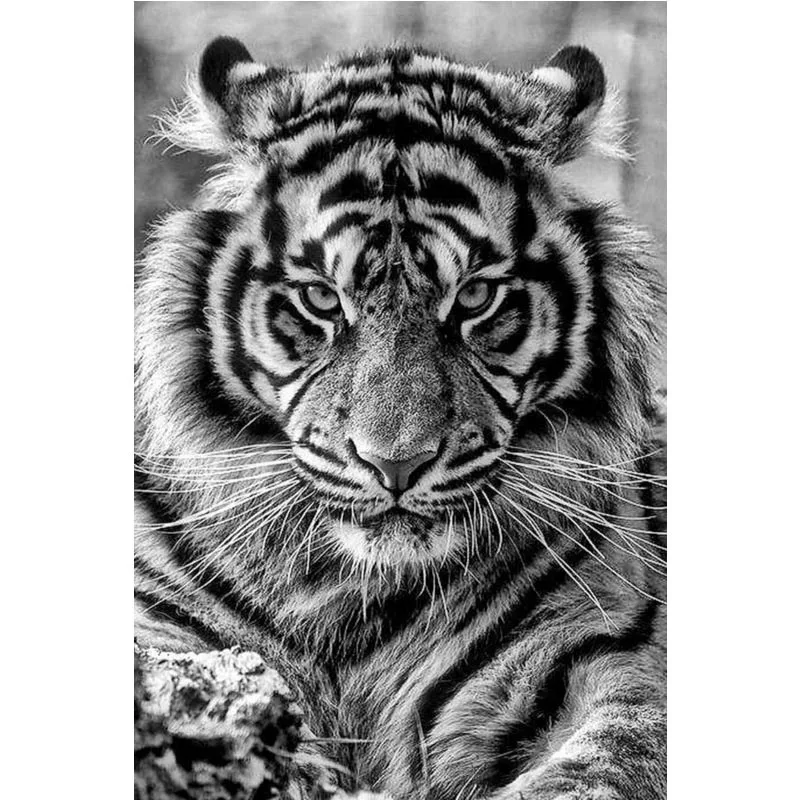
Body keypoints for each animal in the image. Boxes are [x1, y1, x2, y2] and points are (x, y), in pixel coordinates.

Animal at [135, 36, 666, 800]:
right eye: (321, 300)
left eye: (474, 297)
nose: (395, 464)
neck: (353, 597)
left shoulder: (609, 657)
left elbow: (601, 765)